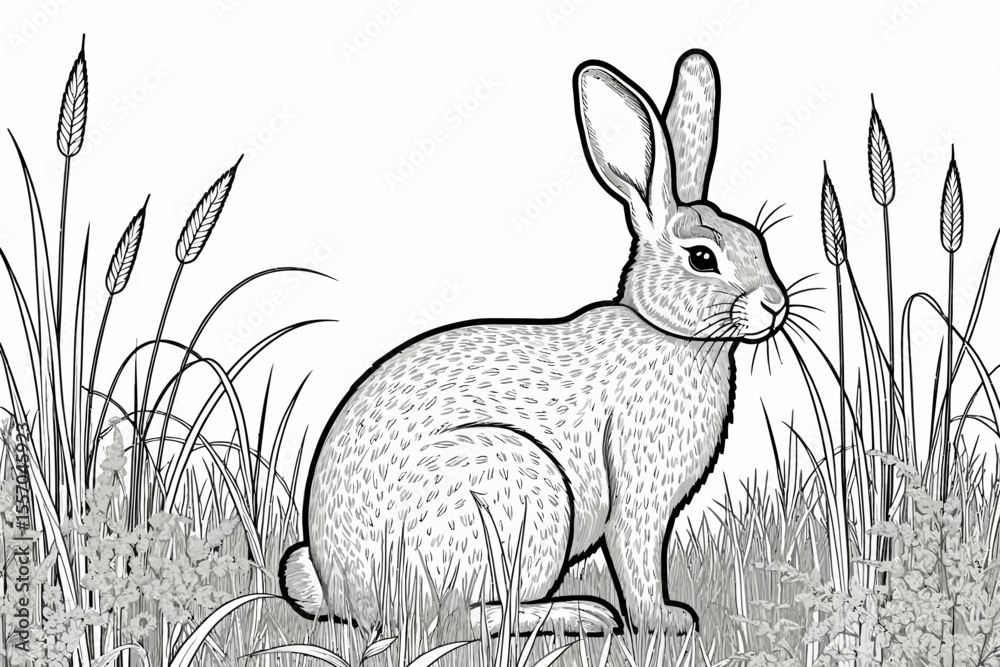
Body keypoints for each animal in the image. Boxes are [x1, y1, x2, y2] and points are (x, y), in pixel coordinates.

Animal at [280, 49, 788, 637]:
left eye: (759, 241)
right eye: (703, 257)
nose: (776, 304)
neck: (662, 329)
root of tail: (348, 594)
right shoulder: (639, 496)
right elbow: (637, 560)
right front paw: (665, 620)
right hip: (517, 493)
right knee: (466, 618)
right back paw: (585, 614)